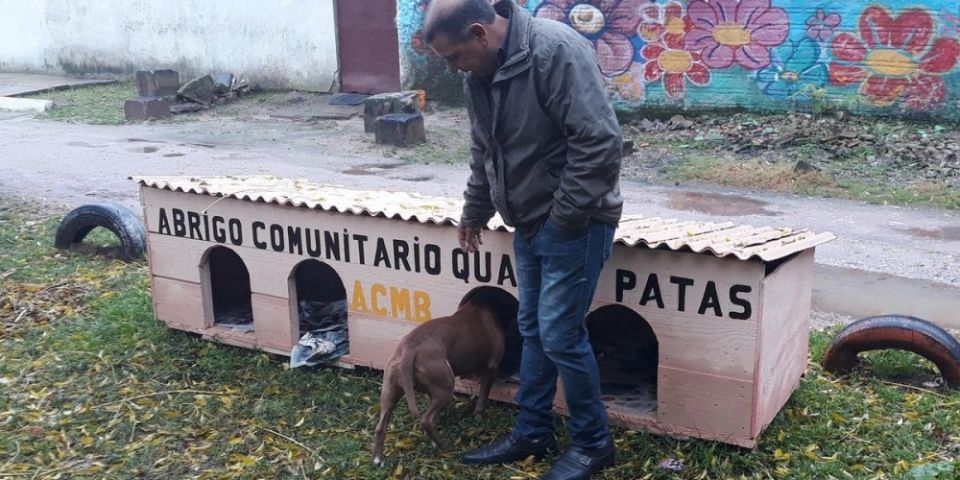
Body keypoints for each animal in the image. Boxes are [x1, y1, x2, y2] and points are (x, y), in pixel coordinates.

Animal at [372, 286, 516, 466]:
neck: (483, 305)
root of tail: (409, 350)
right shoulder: (491, 369)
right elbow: (482, 399)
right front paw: (479, 419)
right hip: (445, 390)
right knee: (426, 420)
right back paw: (440, 445)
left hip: (390, 391)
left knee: (380, 425)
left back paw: (378, 459)